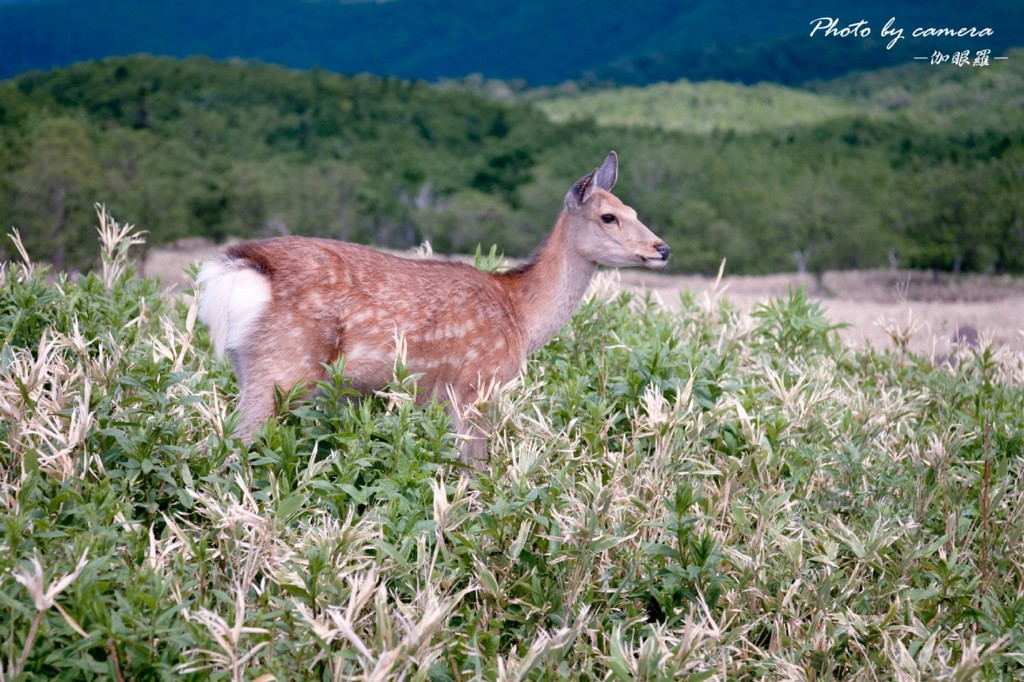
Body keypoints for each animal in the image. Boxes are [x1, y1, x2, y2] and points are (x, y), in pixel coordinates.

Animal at [195, 151, 667, 464]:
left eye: (633, 209)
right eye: (608, 217)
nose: (661, 248)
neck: (519, 317)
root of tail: (238, 268)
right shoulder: (476, 384)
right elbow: (475, 468)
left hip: (249, 366)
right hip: (283, 366)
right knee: (228, 449)